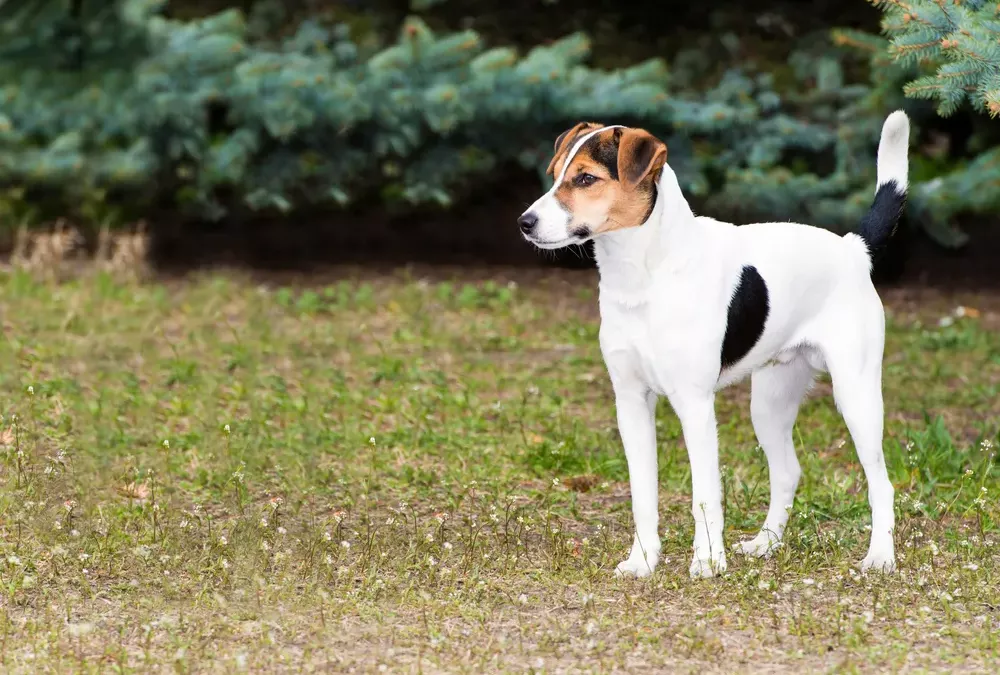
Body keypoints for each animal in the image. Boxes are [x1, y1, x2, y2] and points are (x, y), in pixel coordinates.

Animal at [520, 113, 912, 580]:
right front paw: (643, 559)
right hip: (770, 403)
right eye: (555, 173)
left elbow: (705, 495)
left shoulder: (694, 405)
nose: (524, 222)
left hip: (857, 396)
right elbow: (642, 494)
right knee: (787, 472)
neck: (645, 274)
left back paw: (881, 555)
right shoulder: (631, 401)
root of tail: (853, 248)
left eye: (585, 178)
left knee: (881, 484)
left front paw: (708, 560)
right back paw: (765, 543)